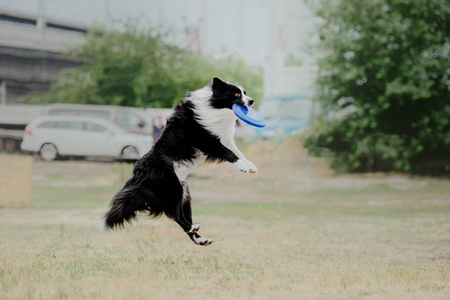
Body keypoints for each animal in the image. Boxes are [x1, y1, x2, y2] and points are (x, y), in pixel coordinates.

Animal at [100, 77, 258, 246]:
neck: (214, 107)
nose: (252, 101)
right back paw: (193, 228)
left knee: (182, 217)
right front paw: (243, 167)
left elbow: (238, 152)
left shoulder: (225, 139)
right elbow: (229, 153)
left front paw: (250, 165)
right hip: (172, 188)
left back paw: (201, 239)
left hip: (184, 194)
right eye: (236, 94)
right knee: (175, 215)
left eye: (245, 92)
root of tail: (137, 177)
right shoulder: (208, 141)